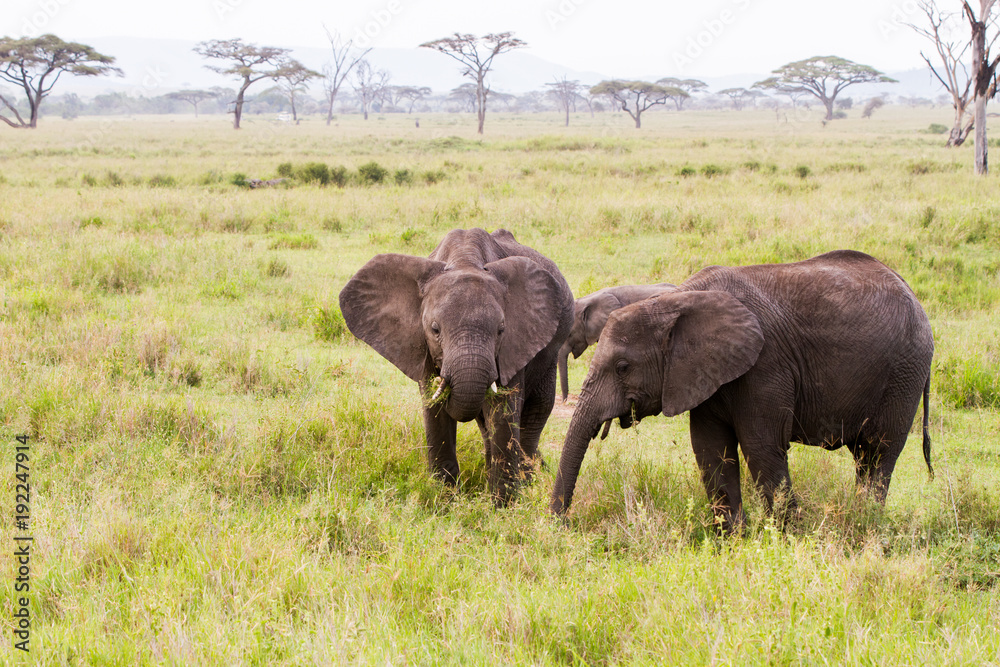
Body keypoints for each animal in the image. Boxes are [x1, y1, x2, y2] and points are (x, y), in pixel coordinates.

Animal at [338, 227, 572, 504]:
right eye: (435, 329)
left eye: (501, 330)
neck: (464, 261)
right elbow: (435, 411)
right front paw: (445, 500)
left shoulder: (514, 346)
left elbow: (503, 411)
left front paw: (502, 506)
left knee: (536, 411)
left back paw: (528, 483)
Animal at [552, 250, 932, 532]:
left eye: (622, 367)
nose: (563, 525)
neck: (677, 301)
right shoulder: (704, 373)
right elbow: (710, 449)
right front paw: (732, 540)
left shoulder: (765, 365)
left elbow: (761, 447)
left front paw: (787, 539)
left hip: (904, 373)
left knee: (878, 454)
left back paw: (867, 523)